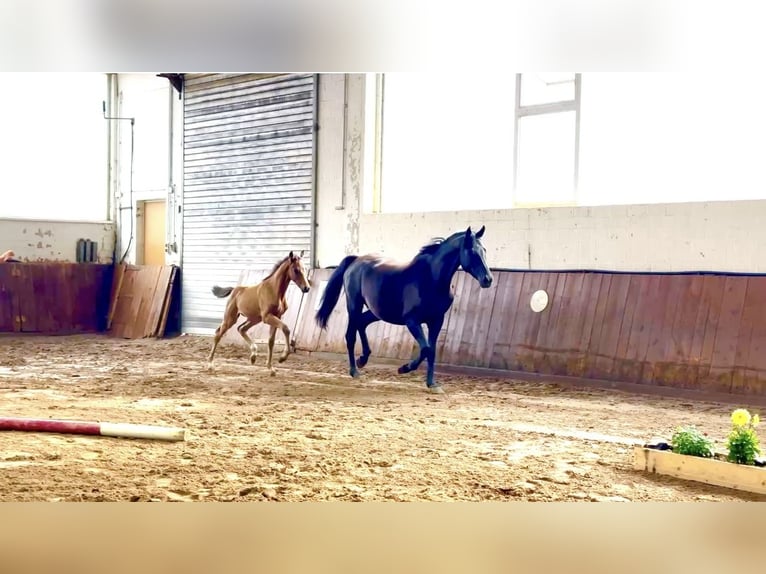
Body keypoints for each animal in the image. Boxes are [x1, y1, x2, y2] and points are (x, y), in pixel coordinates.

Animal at [315, 226, 493, 393]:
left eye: (484, 250)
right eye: (472, 251)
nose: (488, 279)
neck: (430, 279)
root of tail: (356, 260)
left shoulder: (436, 321)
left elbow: (432, 351)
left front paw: (432, 384)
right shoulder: (412, 321)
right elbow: (426, 349)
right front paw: (404, 368)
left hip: (376, 312)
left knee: (361, 323)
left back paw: (363, 359)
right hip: (354, 305)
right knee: (350, 335)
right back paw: (355, 371)